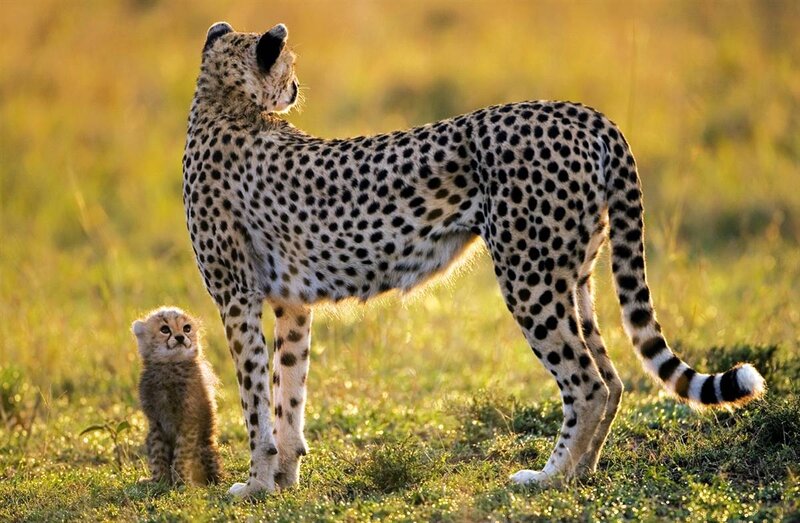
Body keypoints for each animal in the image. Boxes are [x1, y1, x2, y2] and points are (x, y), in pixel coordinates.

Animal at [133, 307, 222, 486]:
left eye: (187, 328)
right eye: (164, 329)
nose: (180, 337)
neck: (170, 365)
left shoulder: (189, 420)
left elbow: (182, 452)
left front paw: (181, 481)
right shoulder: (155, 422)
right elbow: (158, 453)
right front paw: (159, 481)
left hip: (205, 447)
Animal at [182, 21, 766, 497]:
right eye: (290, 65)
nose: (297, 88)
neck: (222, 104)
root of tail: (584, 112)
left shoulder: (237, 298)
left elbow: (256, 400)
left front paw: (256, 485)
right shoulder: (291, 304)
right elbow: (287, 395)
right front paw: (282, 479)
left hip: (528, 275)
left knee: (586, 383)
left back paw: (547, 478)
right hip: (574, 275)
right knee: (612, 377)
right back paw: (582, 473)